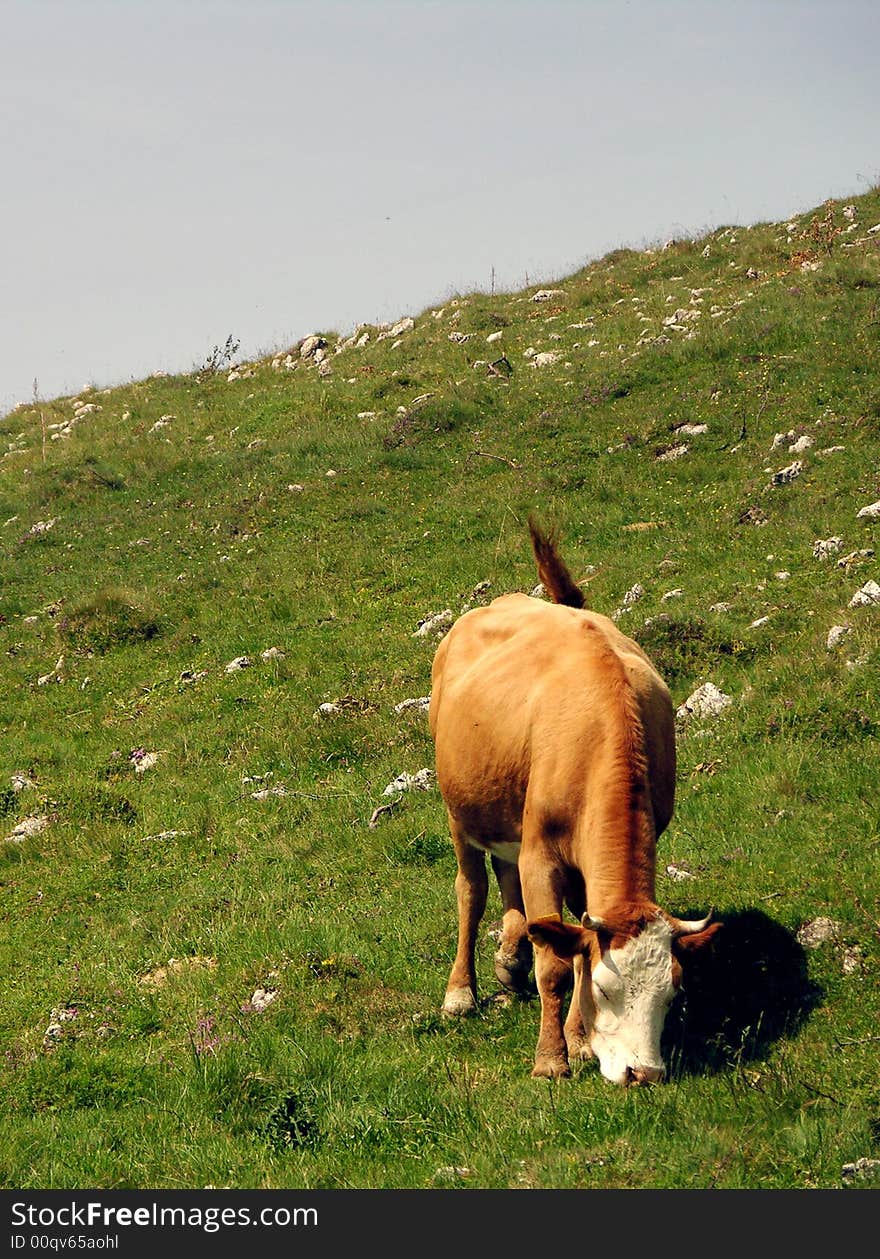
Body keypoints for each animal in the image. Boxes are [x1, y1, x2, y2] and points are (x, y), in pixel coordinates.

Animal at [428, 521, 725, 1082]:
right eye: (608, 992)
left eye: (673, 993)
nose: (643, 1073)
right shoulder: (541, 855)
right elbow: (558, 965)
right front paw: (551, 1059)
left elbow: (575, 943)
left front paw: (579, 1041)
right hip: (460, 812)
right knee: (471, 889)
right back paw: (461, 992)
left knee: (507, 880)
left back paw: (510, 958)